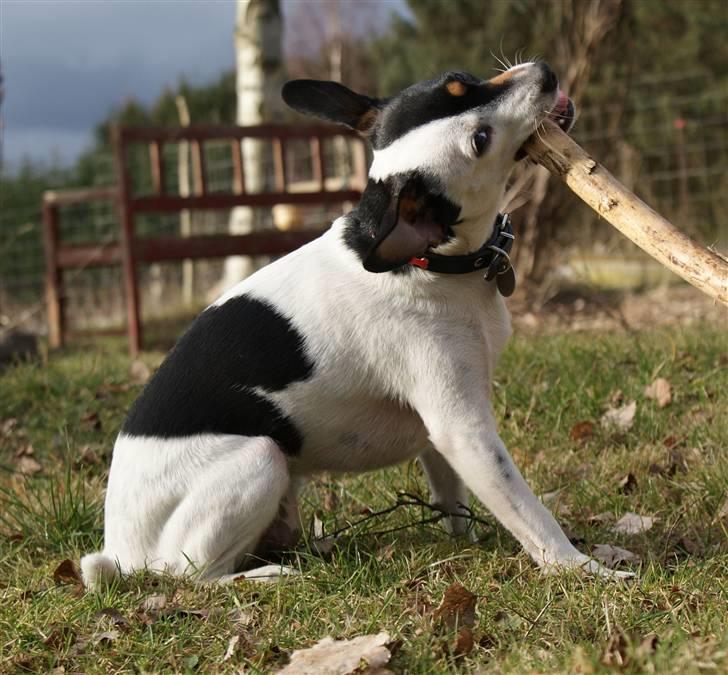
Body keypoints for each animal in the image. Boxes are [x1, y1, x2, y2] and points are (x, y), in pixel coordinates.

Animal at [81, 64, 632, 592]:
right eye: (480, 140)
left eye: (460, 80)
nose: (546, 73)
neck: (430, 260)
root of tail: (119, 552)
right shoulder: (464, 430)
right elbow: (527, 511)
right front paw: (580, 569)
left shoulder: (441, 437)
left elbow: (454, 499)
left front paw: (468, 541)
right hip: (259, 460)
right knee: (189, 572)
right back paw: (264, 577)